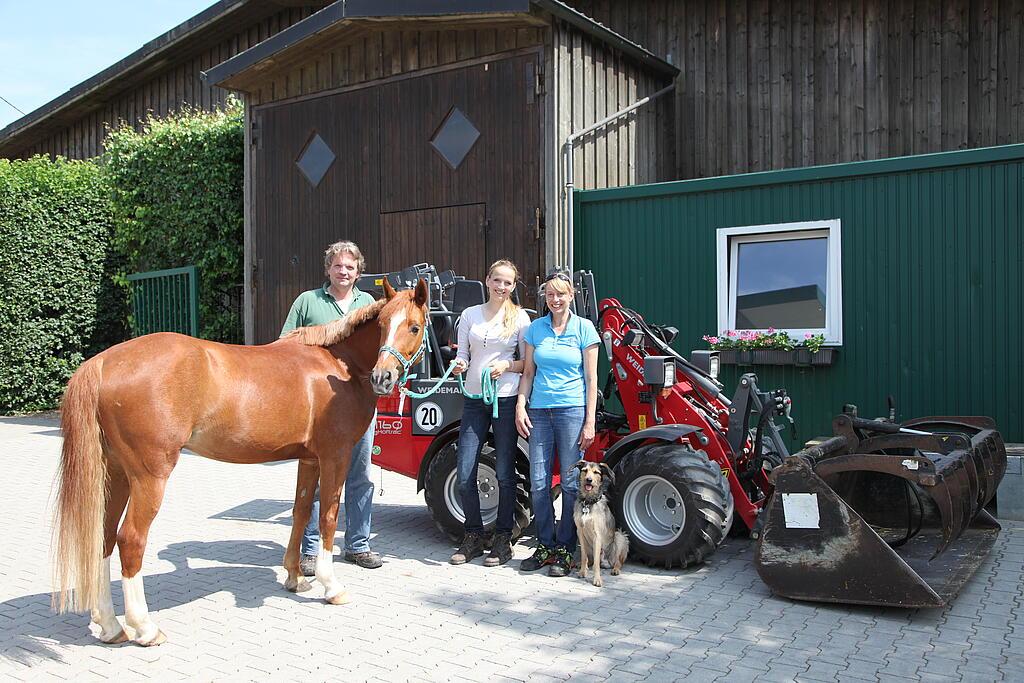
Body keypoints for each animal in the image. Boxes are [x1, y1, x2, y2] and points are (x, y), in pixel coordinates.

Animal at [52, 278, 428, 647]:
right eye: (383, 325)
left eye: (413, 326)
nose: (383, 378)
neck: (338, 365)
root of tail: (103, 363)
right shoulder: (335, 455)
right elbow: (329, 517)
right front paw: (331, 586)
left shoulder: (309, 460)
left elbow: (301, 512)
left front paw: (295, 577)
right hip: (148, 477)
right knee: (130, 539)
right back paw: (144, 628)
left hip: (115, 474)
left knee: (104, 536)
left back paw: (110, 625)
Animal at [573, 458, 626, 589]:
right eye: (584, 470)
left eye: (596, 472)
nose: (589, 480)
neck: (588, 502)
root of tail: (606, 562)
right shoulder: (580, 532)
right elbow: (584, 556)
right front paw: (583, 571)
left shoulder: (597, 535)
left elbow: (596, 564)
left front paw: (597, 579)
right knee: (590, 559)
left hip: (620, 537)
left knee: (618, 561)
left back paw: (615, 569)